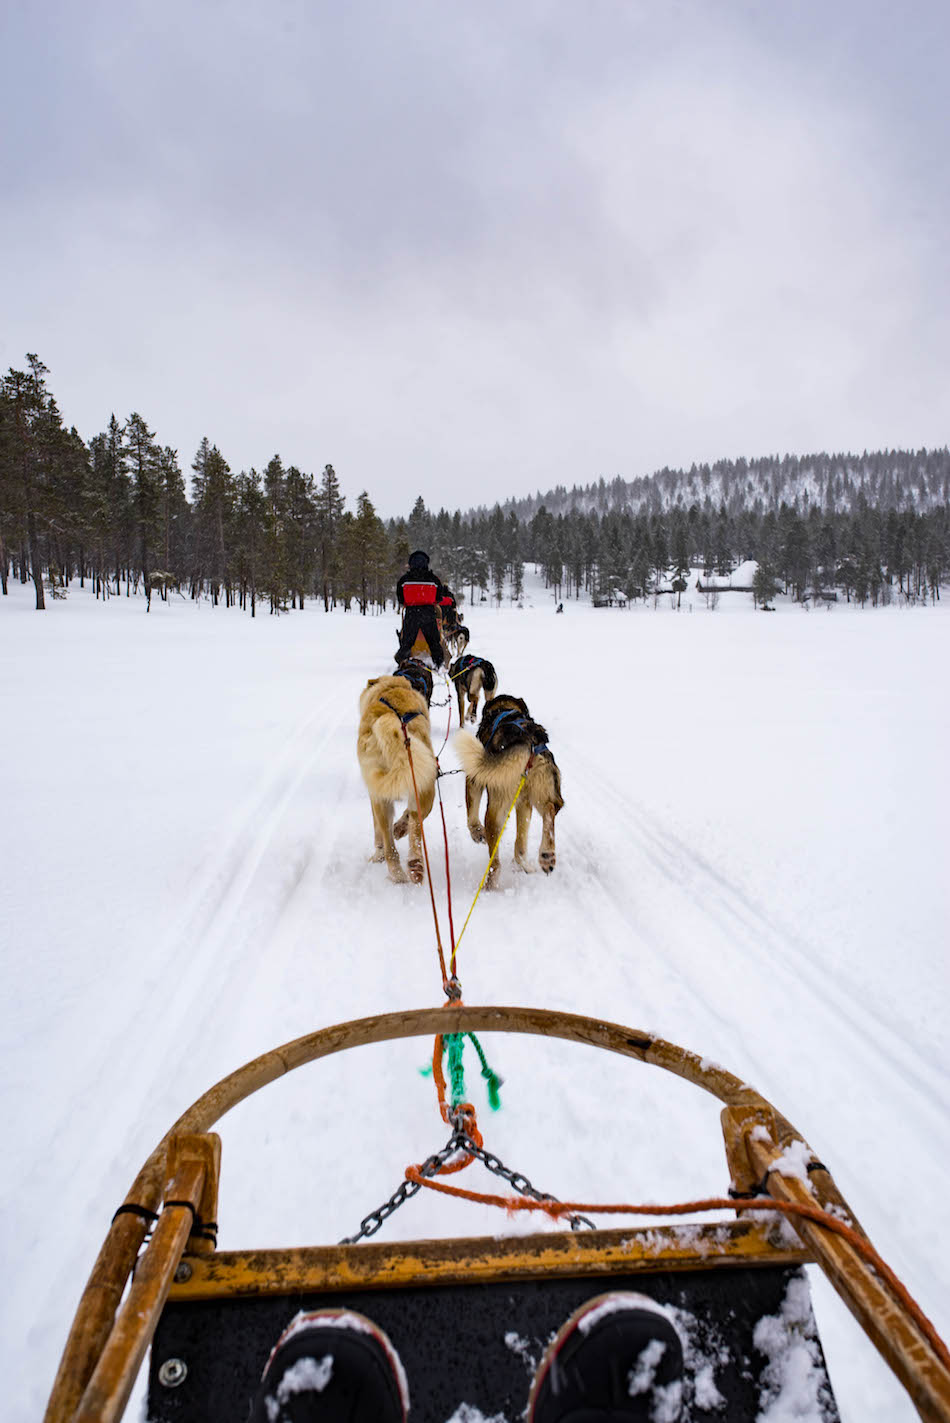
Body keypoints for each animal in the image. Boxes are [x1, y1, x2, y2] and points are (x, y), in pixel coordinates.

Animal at [355, 674, 438, 882]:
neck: (391, 690)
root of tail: (393, 720)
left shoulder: (374, 795)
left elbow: (377, 831)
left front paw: (377, 855)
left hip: (381, 796)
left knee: (388, 839)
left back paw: (396, 872)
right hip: (424, 783)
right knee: (415, 821)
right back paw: (414, 864)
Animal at [455, 691, 560, 882]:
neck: (505, 709)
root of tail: (527, 740)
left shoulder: (474, 778)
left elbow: (471, 815)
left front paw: (477, 833)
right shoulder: (524, 804)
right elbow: (521, 840)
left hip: (495, 810)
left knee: (495, 863)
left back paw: (490, 883)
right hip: (545, 790)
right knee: (550, 809)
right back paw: (546, 856)